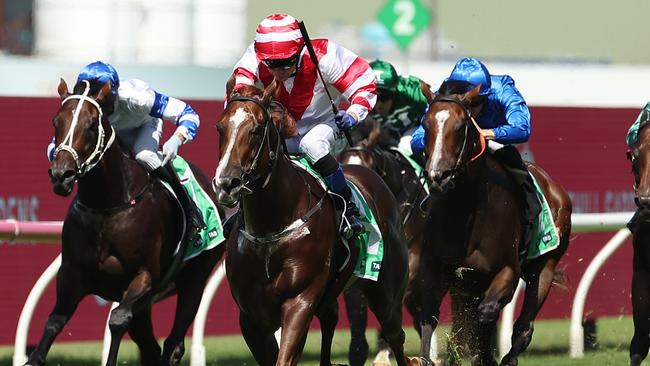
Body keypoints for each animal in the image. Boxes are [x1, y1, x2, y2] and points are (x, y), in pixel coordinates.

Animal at [31, 80, 227, 366]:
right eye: (56, 121)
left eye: (92, 124)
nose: (61, 175)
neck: (106, 208)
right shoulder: (71, 273)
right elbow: (54, 321)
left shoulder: (144, 276)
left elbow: (117, 319)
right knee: (151, 348)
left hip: (195, 278)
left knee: (173, 344)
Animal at [210, 83, 408, 366]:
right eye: (220, 127)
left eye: (256, 129)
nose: (227, 183)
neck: (271, 228)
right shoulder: (250, 316)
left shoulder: (299, 302)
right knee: (331, 317)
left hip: (386, 292)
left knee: (395, 336)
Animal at [412, 83, 568, 366]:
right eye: (425, 125)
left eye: (461, 126)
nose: (438, 175)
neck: (466, 212)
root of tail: (556, 189)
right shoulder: (437, 270)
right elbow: (429, 317)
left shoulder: (507, 271)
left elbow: (484, 316)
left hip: (545, 266)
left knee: (522, 327)